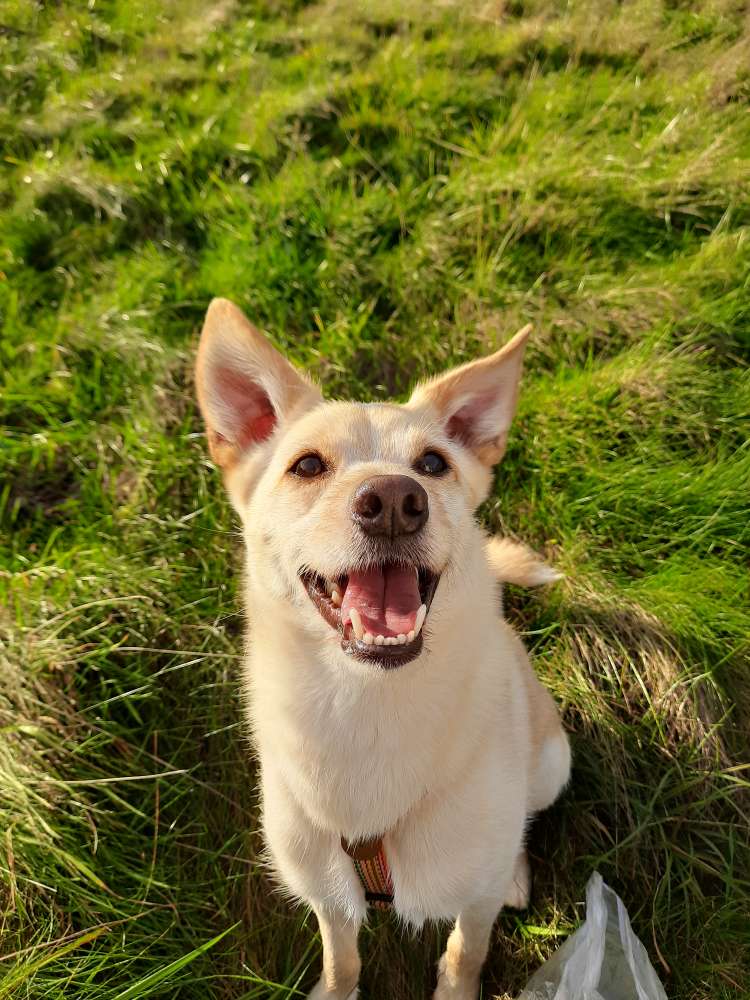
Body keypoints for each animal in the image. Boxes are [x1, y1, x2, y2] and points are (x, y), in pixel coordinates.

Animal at [194, 298, 568, 1000]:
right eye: (308, 465)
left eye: (434, 464)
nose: (394, 501)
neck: (364, 707)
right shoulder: (329, 896)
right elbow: (341, 957)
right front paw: (333, 992)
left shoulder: (472, 904)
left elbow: (466, 950)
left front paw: (456, 989)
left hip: (552, 763)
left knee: (521, 830)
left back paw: (514, 869)